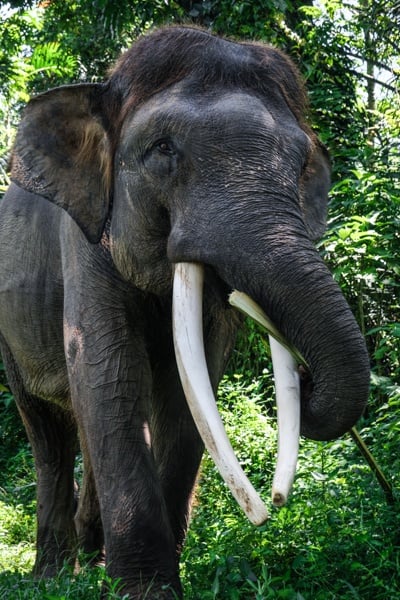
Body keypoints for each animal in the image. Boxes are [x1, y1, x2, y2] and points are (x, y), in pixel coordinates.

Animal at [0, 25, 370, 596]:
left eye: (300, 165)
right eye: (161, 149)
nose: (305, 381)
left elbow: (186, 392)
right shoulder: (83, 243)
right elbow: (109, 370)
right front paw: (146, 591)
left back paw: (92, 556)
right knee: (47, 429)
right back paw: (53, 576)